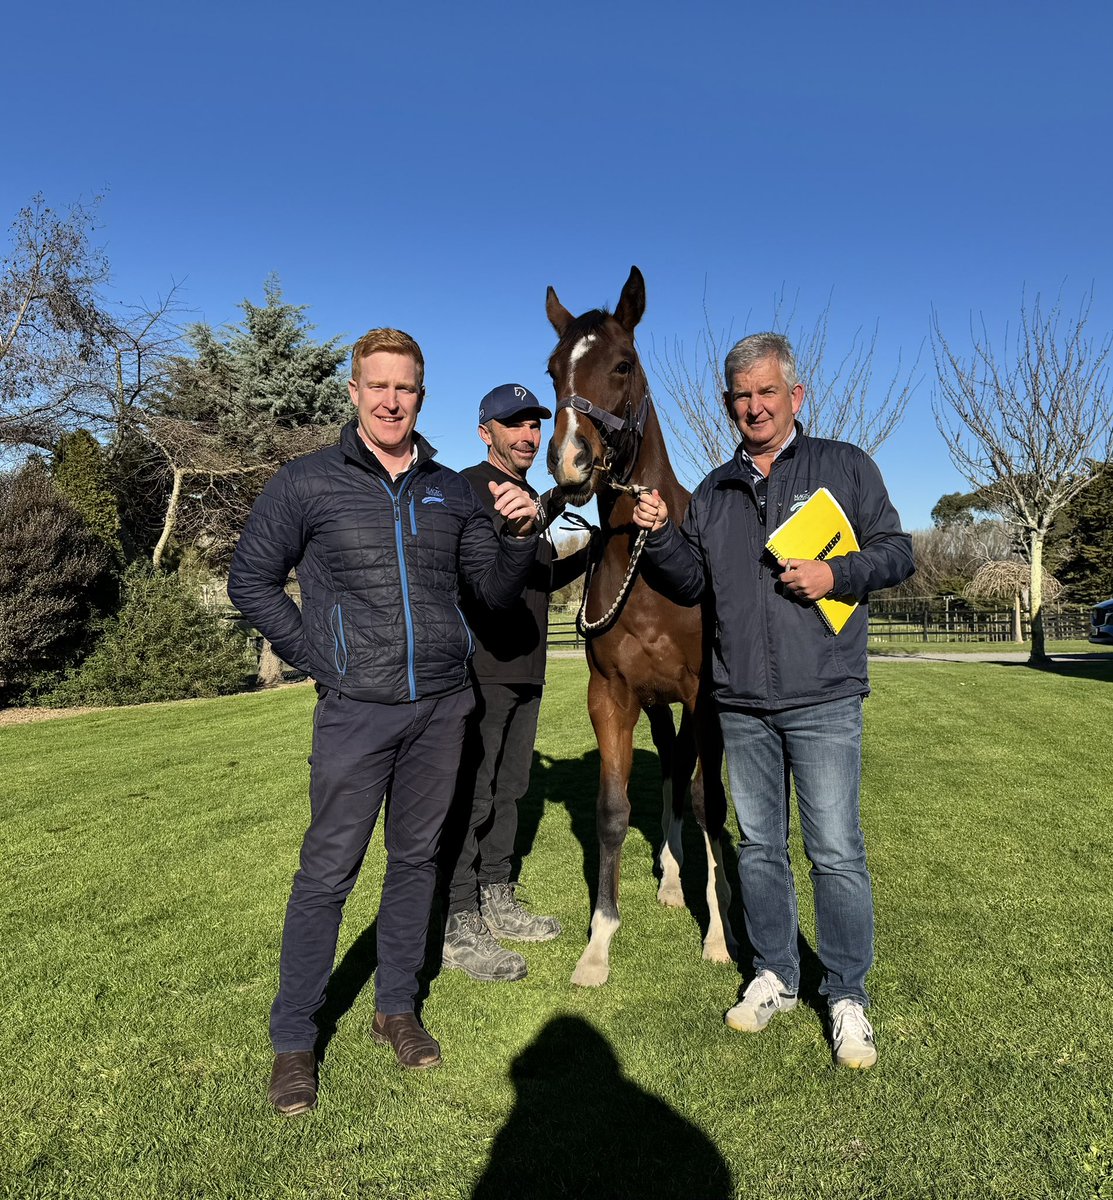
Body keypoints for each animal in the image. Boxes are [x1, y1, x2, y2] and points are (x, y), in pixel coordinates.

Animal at [544, 265, 736, 986]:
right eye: (552, 371)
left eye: (622, 364)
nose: (569, 461)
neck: (649, 563)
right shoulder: (612, 695)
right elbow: (612, 811)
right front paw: (599, 941)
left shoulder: (705, 696)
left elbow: (711, 803)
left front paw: (718, 935)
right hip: (655, 704)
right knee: (674, 770)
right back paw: (672, 877)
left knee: (696, 783)